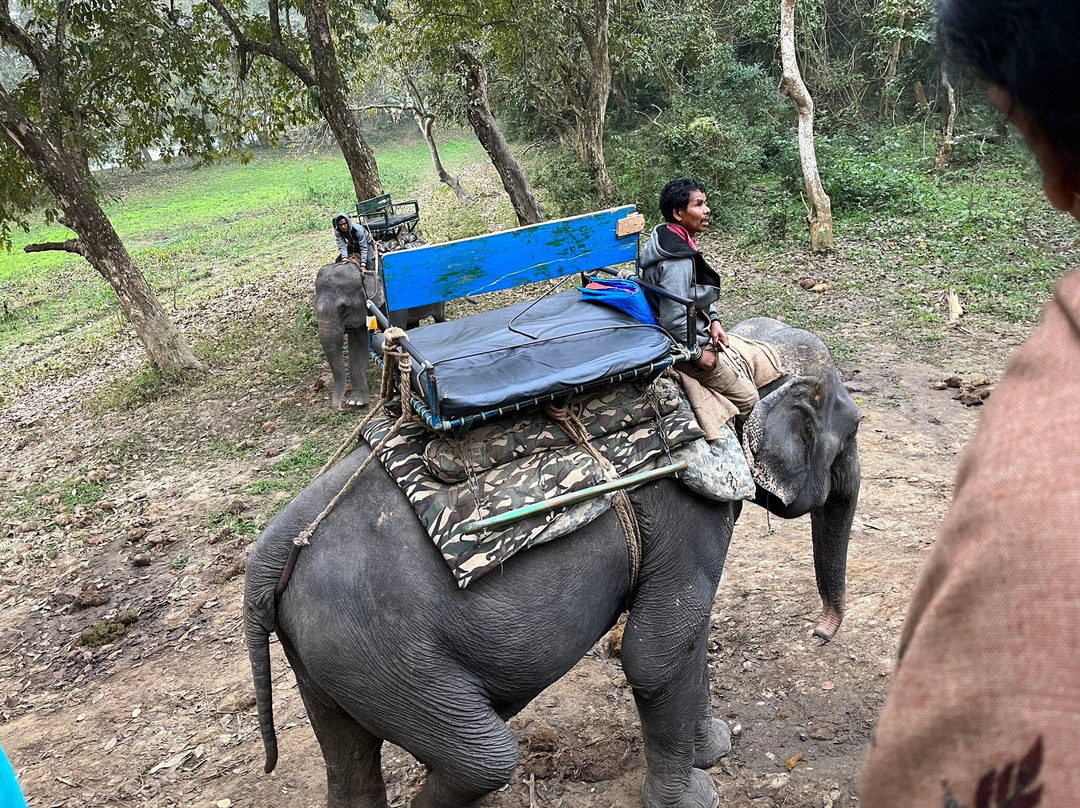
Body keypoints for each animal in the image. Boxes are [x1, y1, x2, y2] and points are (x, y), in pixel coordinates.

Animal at [247, 315, 859, 808]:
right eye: (851, 430)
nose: (821, 633)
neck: (730, 369)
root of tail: (271, 551)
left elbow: (690, 636)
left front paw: (714, 748)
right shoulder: (688, 507)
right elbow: (655, 656)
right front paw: (695, 797)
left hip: (329, 658)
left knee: (347, 756)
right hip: (383, 654)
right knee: (484, 760)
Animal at [315, 259, 444, 410]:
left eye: (343, 308)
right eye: (314, 306)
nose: (339, 409)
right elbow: (358, 345)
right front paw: (356, 402)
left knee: (439, 317)